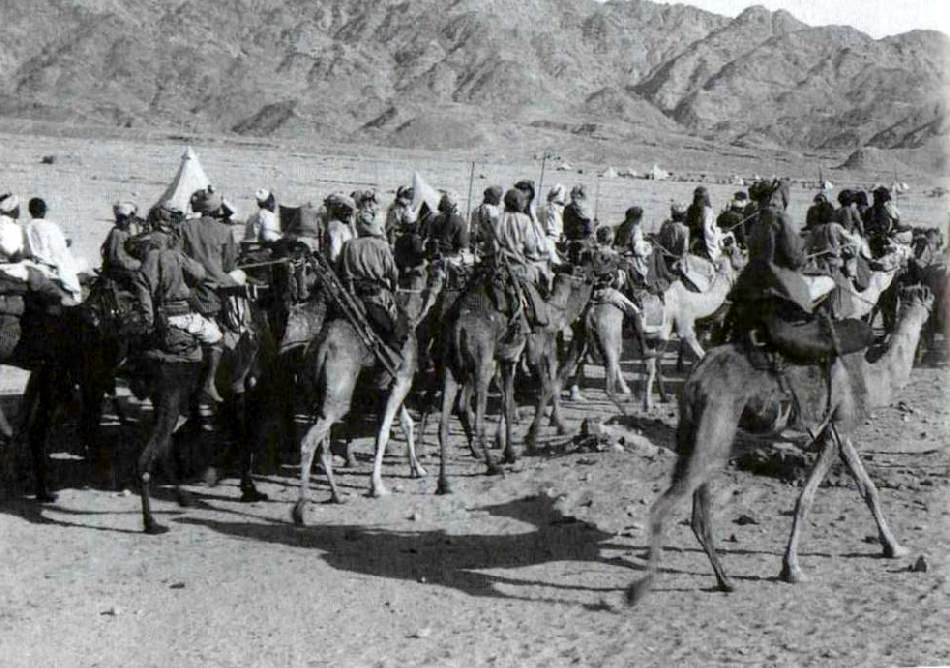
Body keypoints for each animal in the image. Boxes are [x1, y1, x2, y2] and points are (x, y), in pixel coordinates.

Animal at [436, 268, 593, 494]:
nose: (599, 278)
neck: (552, 312)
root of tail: (458, 326)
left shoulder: (508, 359)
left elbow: (508, 402)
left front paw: (510, 451)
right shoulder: (531, 352)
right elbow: (545, 387)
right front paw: (530, 438)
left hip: (452, 366)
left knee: (445, 421)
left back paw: (444, 482)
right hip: (482, 362)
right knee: (476, 416)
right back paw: (492, 466)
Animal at [627, 284, 934, 604]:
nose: (929, 300)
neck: (875, 377)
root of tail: (696, 379)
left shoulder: (839, 430)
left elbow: (868, 489)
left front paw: (894, 548)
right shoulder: (836, 431)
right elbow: (806, 498)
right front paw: (792, 569)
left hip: (697, 430)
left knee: (699, 512)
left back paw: (725, 580)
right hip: (717, 422)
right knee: (665, 506)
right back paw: (639, 589)